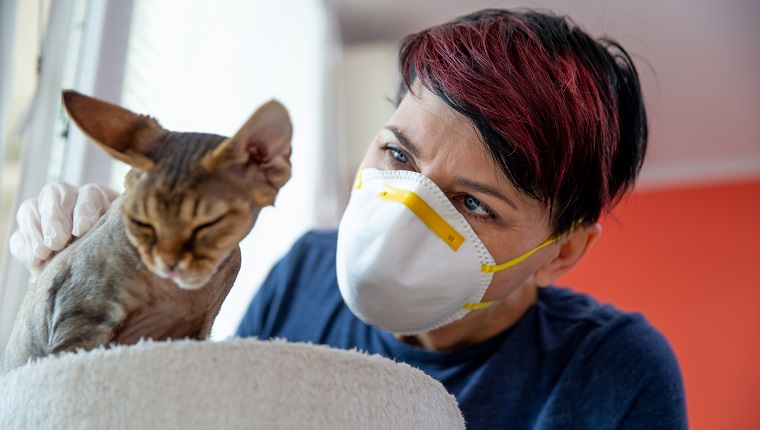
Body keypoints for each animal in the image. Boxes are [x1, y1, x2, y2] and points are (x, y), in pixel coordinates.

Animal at [1, 90, 292, 372]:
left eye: (208, 224)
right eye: (141, 222)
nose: (170, 262)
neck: (177, 295)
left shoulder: (197, 332)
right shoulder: (81, 318)